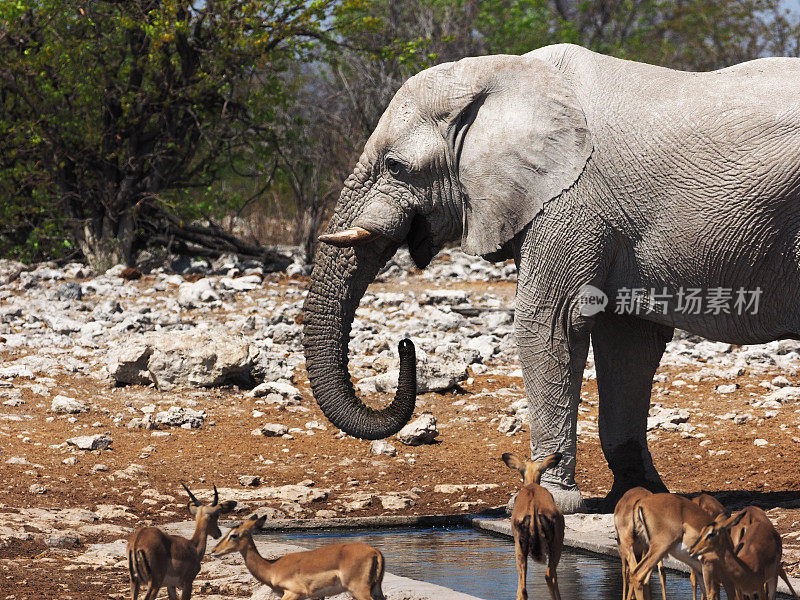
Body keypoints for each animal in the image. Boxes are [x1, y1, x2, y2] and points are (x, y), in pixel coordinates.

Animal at [211, 510, 386, 600]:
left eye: (233, 535)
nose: (214, 551)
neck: (272, 567)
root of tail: (375, 551)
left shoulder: (292, 593)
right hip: (376, 590)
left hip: (359, 590)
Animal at [304, 43, 800, 510]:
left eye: (395, 166)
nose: (406, 345)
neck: (499, 75)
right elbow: (627, 342)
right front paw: (636, 498)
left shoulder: (570, 202)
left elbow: (548, 325)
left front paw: (546, 501)